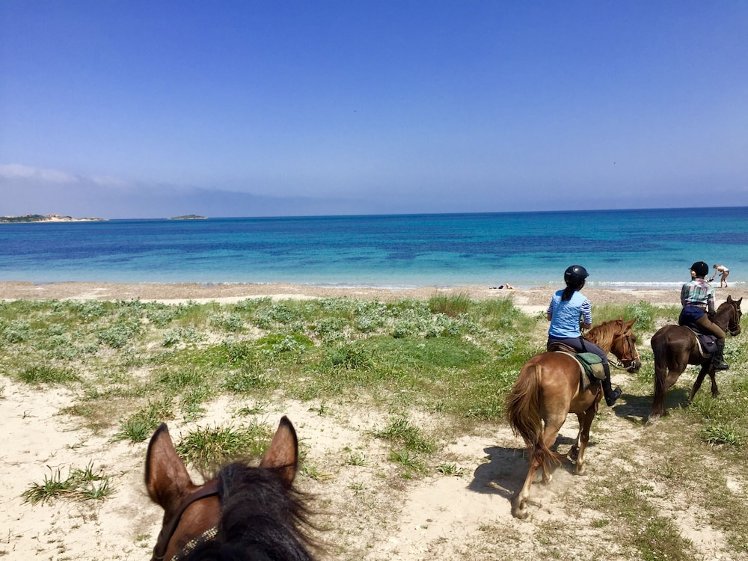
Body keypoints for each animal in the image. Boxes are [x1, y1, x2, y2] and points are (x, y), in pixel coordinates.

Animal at [506, 319, 641, 519]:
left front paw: (574, 450)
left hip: (540, 420)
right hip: (555, 421)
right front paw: (580, 466)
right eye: (632, 339)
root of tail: (537, 366)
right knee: (539, 453)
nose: (637, 364)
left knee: (539, 448)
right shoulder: (592, 407)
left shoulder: (578, 408)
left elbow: (580, 427)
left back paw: (546, 477)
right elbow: (585, 434)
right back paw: (523, 504)